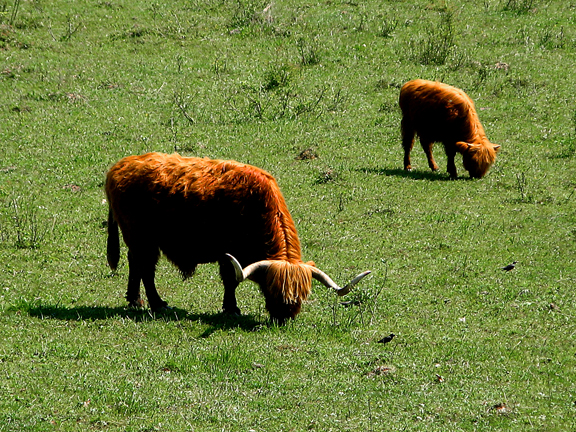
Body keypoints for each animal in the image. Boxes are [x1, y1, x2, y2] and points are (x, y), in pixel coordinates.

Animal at [106, 150, 372, 322]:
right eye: (274, 290)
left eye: (301, 295)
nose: (285, 315)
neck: (257, 208)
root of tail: (120, 166)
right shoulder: (228, 253)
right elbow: (230, 280)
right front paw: (231, 308)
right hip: (142, 238)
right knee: (145, 268)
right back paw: (156, 303)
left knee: (136, 264)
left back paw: (135, 300)